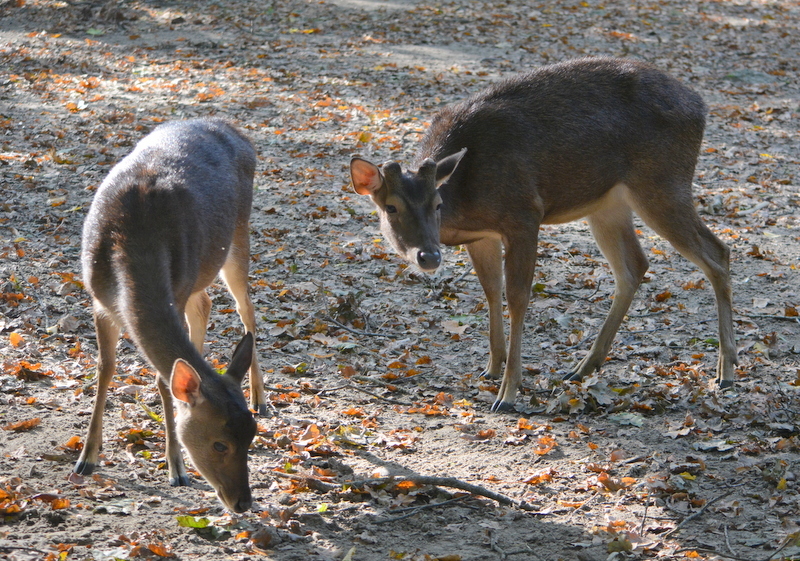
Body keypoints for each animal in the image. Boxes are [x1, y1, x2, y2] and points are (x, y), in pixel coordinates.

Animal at [74, 118, 266, 512]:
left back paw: (260, 397)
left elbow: (163, 381)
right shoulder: (98, 300)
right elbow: (105, 368)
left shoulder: (175, 290)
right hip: (202, 270)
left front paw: (176, 468)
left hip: (237, 237)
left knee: (246, 309)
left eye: (252, 439)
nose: (243, 503)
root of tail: (230, 126)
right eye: (220, 443)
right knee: (206, 303)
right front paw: (87, 457)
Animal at [350, 58, 736, 412]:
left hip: (663, 182)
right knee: (634, 265)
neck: (467, 202)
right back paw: (583, 366)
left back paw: (727, 371)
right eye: (391, 208)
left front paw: (507, 393)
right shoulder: (482, 236)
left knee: (717, 252)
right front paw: (491, 368)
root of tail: (700, 105)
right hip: (608, 203)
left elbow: (518, 297)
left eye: (437, 203)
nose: (428, 255)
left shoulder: (524, 215)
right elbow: (491, 291)